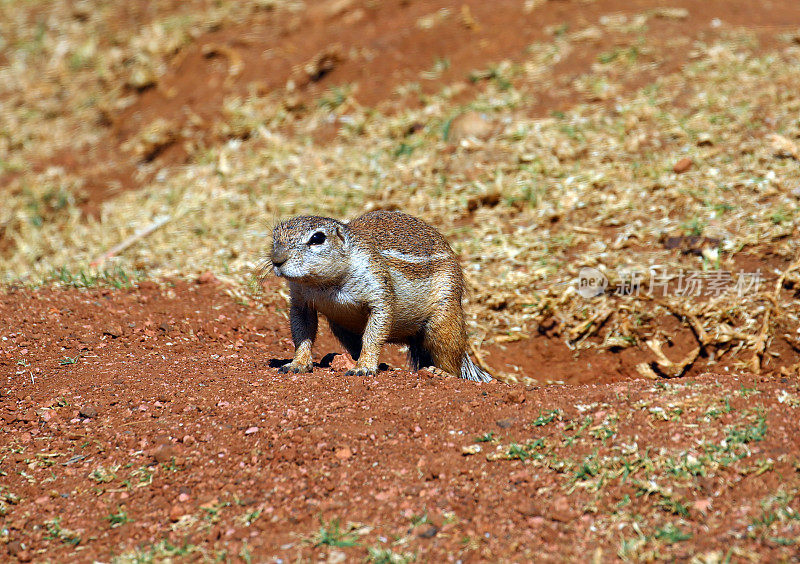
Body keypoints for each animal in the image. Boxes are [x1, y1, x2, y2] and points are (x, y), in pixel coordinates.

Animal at [272, 209, 490, 382]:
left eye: (317, 238)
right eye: (275, 236)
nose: (276, 260)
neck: (325, 284)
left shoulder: (378, 289)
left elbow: (373, 335)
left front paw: (364, 367)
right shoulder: (300, 301)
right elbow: (302, 333)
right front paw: (297, 363)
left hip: (444, 320)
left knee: (452, 359)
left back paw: (441, 372)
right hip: (343, 328)